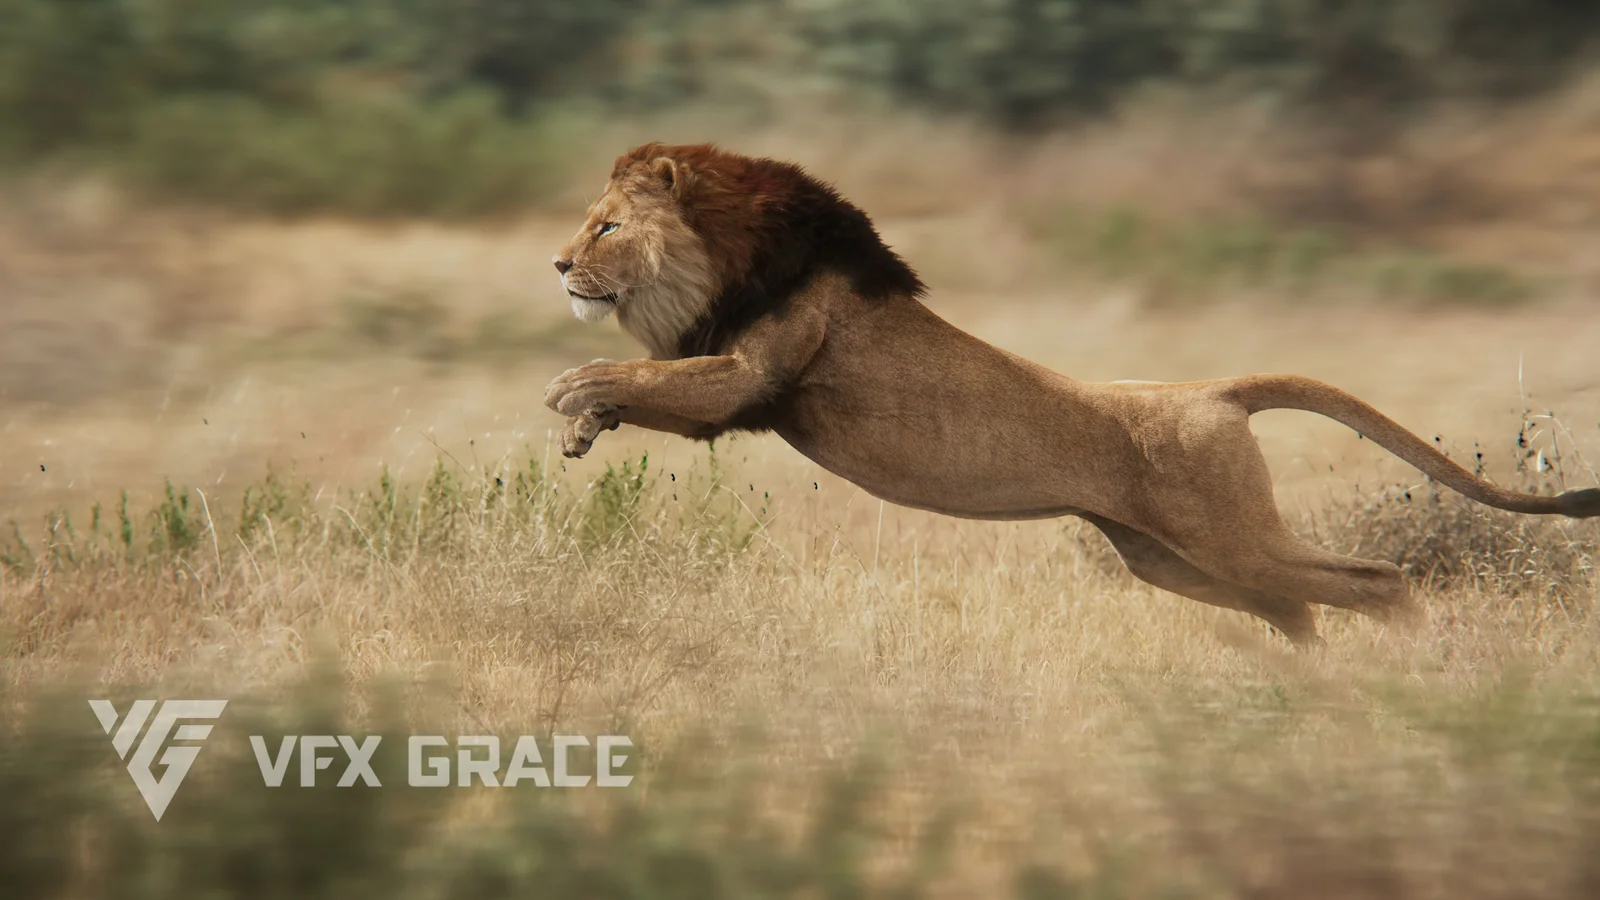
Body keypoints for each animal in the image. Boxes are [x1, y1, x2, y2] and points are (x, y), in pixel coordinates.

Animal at [544, 142, 1600, 645]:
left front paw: (570, 390)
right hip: (1174, 561)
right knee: (1298, 611)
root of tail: (1215, 390)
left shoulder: (755, 376)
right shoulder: (736, 388)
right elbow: (648, 388)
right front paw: (585, 429)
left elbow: (641, 373)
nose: (556, 265)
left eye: (604, 228)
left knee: (1380, 580)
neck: (721, 261)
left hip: (1228, 537)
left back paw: (1418, 668)